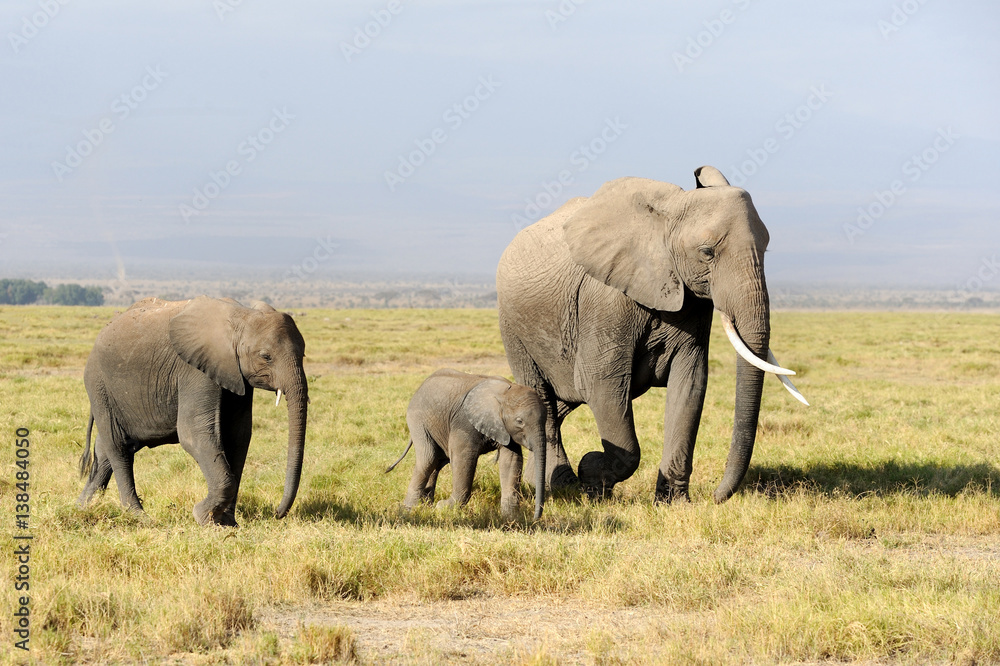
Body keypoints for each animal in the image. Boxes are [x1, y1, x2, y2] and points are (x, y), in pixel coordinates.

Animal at [77, 296, 309, 526]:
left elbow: (238, 436)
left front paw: (228, 523)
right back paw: (139, 517)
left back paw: (81, 507)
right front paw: (204, 517)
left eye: (304, 354)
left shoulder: (235, 374)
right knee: (118, 447)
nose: (277, 512)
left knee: (105, 451)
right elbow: (193, 434)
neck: (241, 314)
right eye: (265, 356)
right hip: (99, 385)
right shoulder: (194, 370)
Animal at [386, 369, 547, 520]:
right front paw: (443, 507)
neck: (504, 391)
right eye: (520, 421)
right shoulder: (464, 423)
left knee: (436, 461)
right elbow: (463, 458)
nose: (535, 518)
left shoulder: (505, 429)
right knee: (428, 458)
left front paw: (510, 518)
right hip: (417, 419)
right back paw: (409, 510)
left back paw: (426, 505)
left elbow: (511, 460)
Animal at [496, 166, 807, 503]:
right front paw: (591, 476)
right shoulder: (605, 300)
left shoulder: (694, 303)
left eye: (765, 249)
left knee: (562, 399)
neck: (668, 214)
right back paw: (563, 484)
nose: (715, 496)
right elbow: (601, 382)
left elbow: (690, 383)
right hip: (513, 323)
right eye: (707, 252)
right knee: (543, 395)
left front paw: (674, 504)